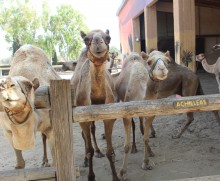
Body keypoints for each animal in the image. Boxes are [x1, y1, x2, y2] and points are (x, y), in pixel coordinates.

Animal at [70, 29, 118, 181]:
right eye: (86, 39)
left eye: (108, 37)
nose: (97, 42)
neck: (97, 99)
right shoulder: (83, 118)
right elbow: (89, 150)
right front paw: (91, 176)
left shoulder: (110, 118)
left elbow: (110, 151)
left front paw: (116, 177)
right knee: (85, 135)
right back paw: (86, 159)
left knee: (92, 129)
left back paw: (98, 151)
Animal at [115, 50, 170, 180]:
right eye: (149, 61)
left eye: (168, 60)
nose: (162, 69)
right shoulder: (126, 114)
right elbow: (126, 145)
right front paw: (122, 172)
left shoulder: (150, 113)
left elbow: (146, 138)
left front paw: (146, 162)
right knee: (135, 126)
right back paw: (134, 148)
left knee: (141, 127)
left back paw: (150, 152)